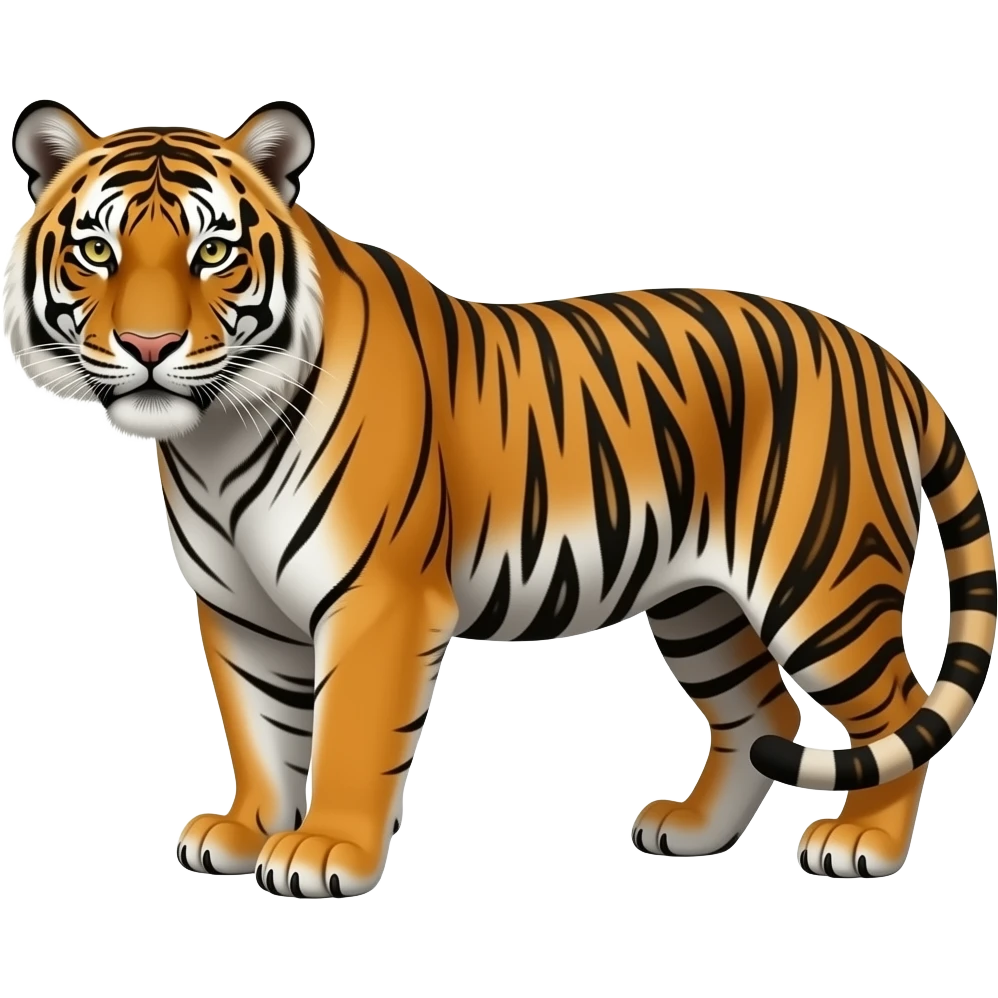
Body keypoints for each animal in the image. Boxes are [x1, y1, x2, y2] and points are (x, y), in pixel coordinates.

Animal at [4, 98, 994, 898]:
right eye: (97, 251)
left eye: (214, 252)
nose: (149, 346)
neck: (213, 437)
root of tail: (882, 359)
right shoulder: (239, 609)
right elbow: (259, 730)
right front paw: (246, 832)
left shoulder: (379, 601)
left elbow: (347, 734)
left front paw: (325, 852)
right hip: (699, 604)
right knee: (764, 714)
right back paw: (690, 831)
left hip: (822, 587)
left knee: (896, 710)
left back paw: (862, 845)